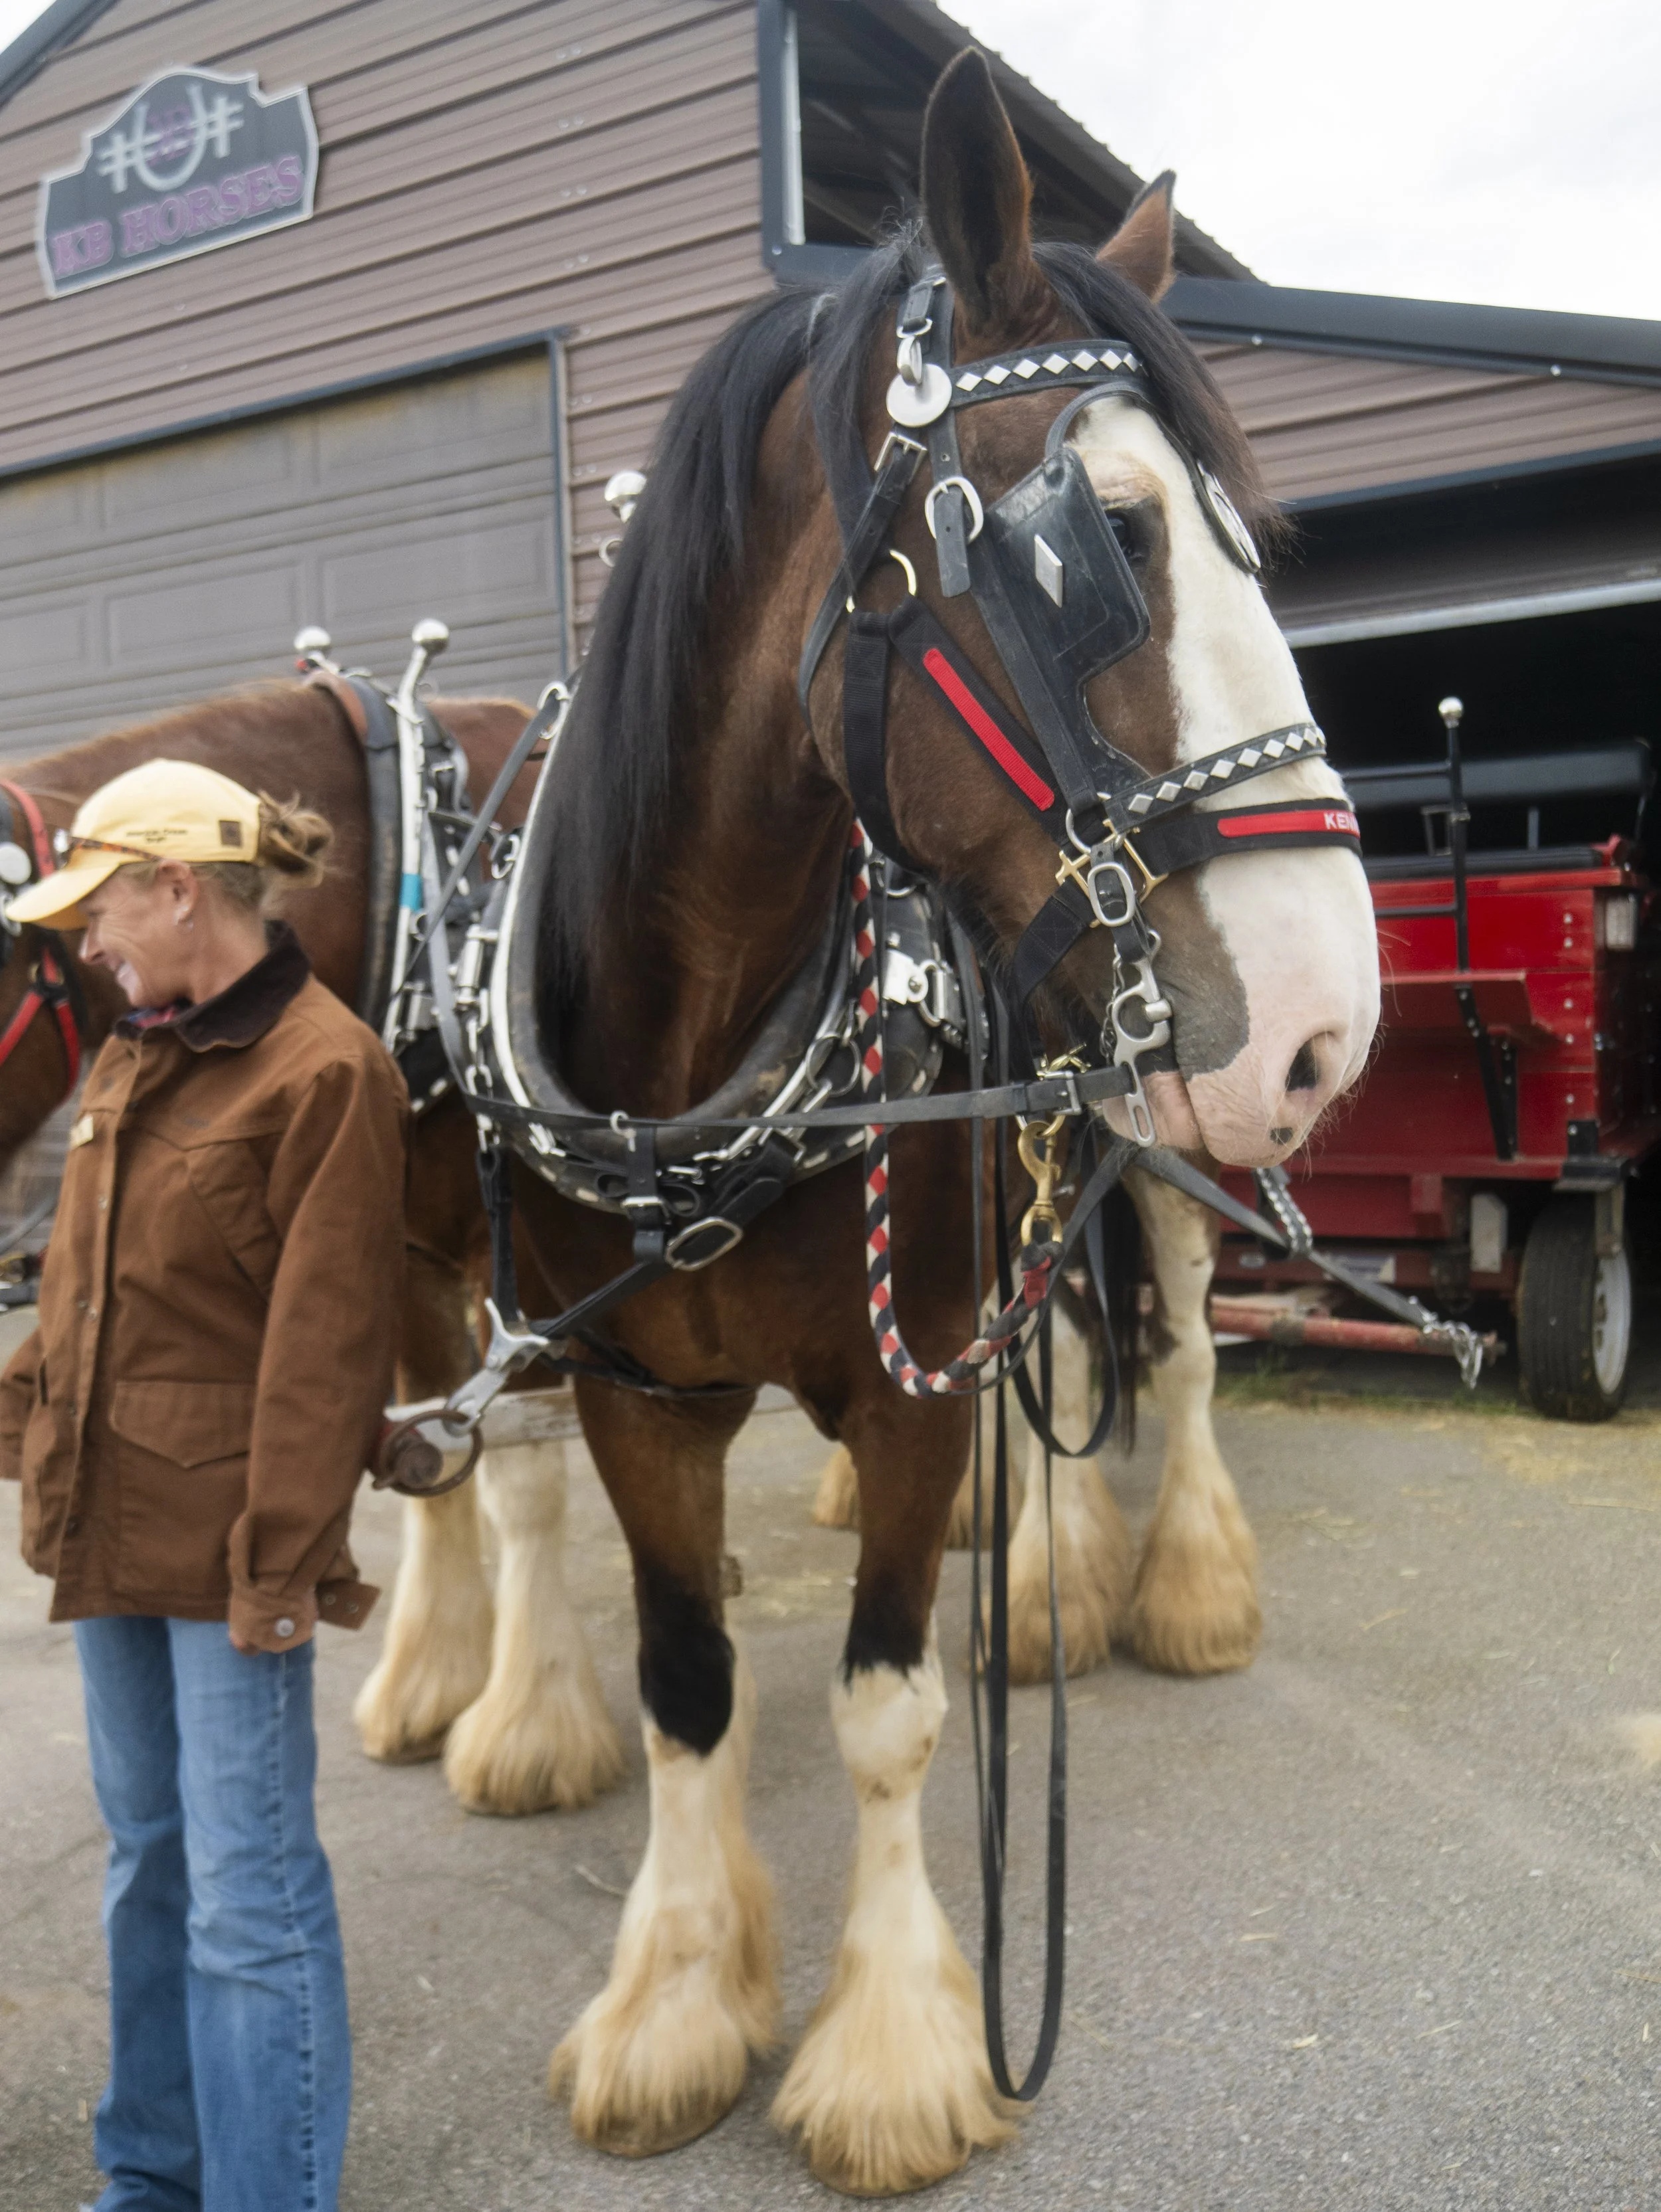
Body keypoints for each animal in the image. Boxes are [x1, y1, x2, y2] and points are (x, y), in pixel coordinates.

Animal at [470, 48, 1379, 2193]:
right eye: (1108, 535)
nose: (1332, 1020)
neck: (708, 1045)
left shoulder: (908, 1380)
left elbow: (887, 1702)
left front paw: (889, 2045)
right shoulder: (634, 1389)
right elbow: (687, 1689)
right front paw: (673, 2000)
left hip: (1152, 1140)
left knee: (1163, 1352)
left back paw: (1148, 1581)